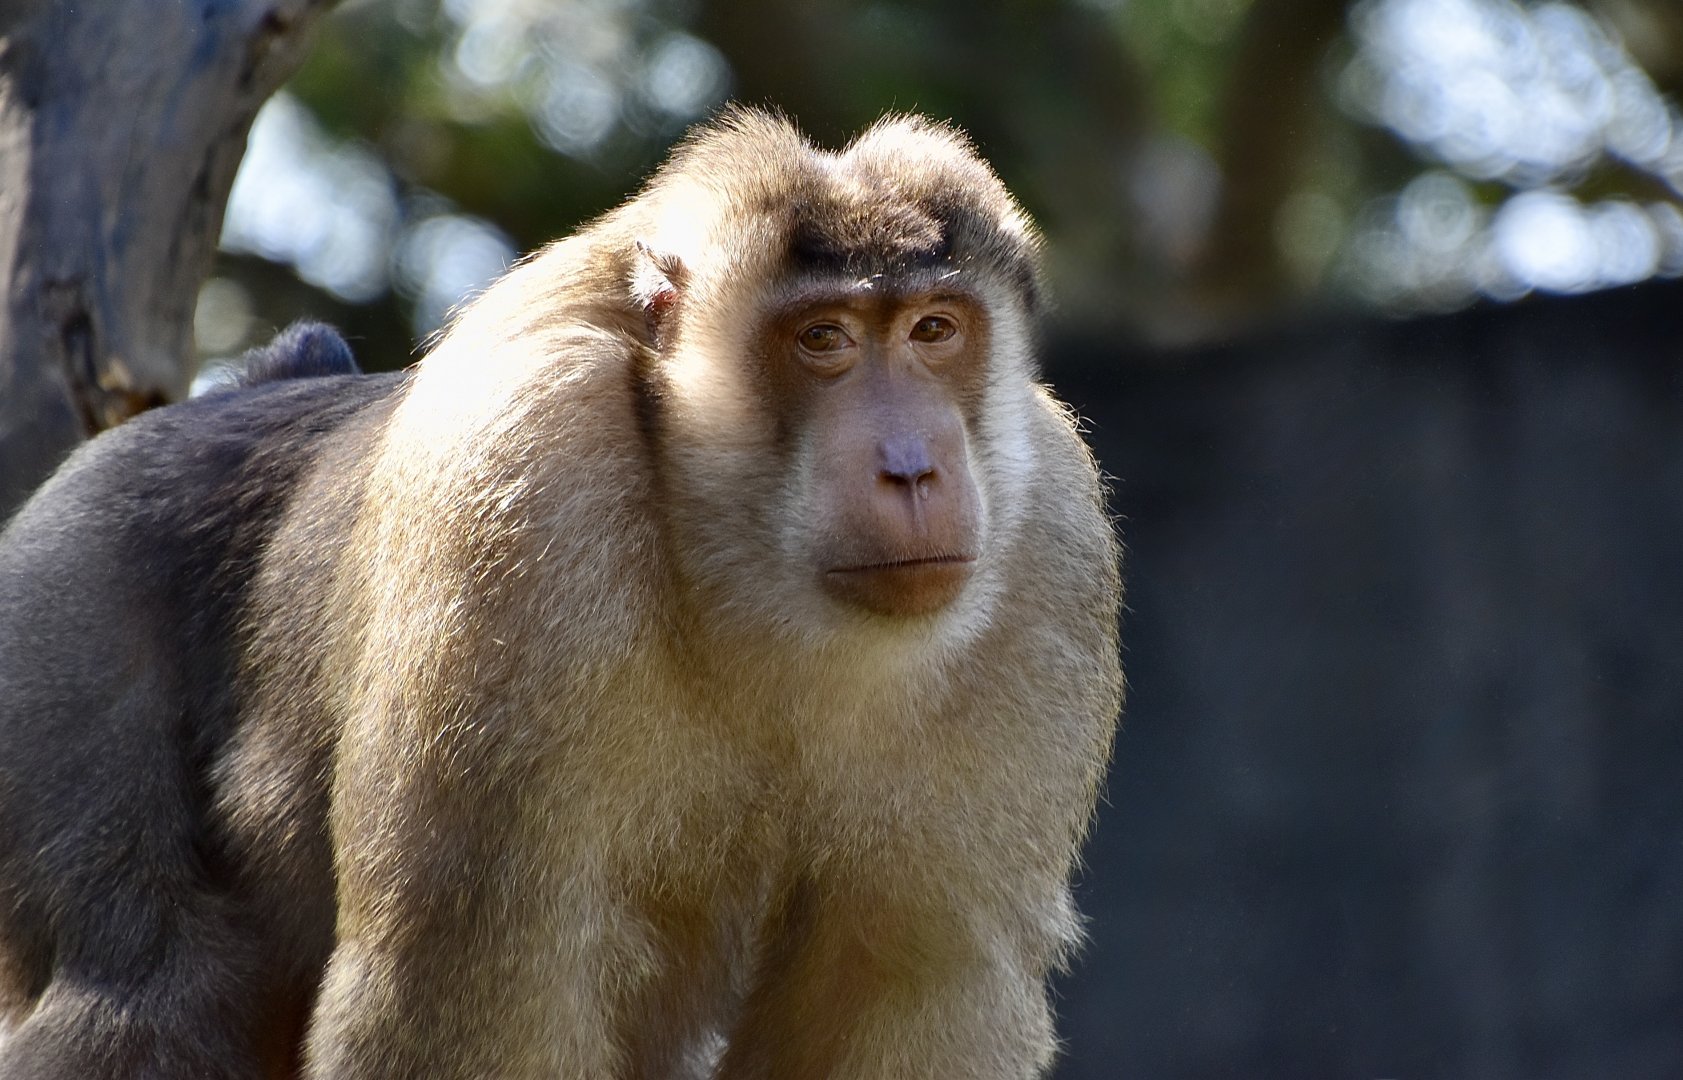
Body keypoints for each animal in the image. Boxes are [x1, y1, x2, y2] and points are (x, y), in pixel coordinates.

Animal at [0, 108, 1122, 1080]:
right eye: (825, 340)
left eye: (933, 330)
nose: (914, 467)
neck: (743, 583)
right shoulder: (523, 482)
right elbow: (453, 988)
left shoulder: (1053, 550)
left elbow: (905, 986)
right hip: (62, 591)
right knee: (151, 983)